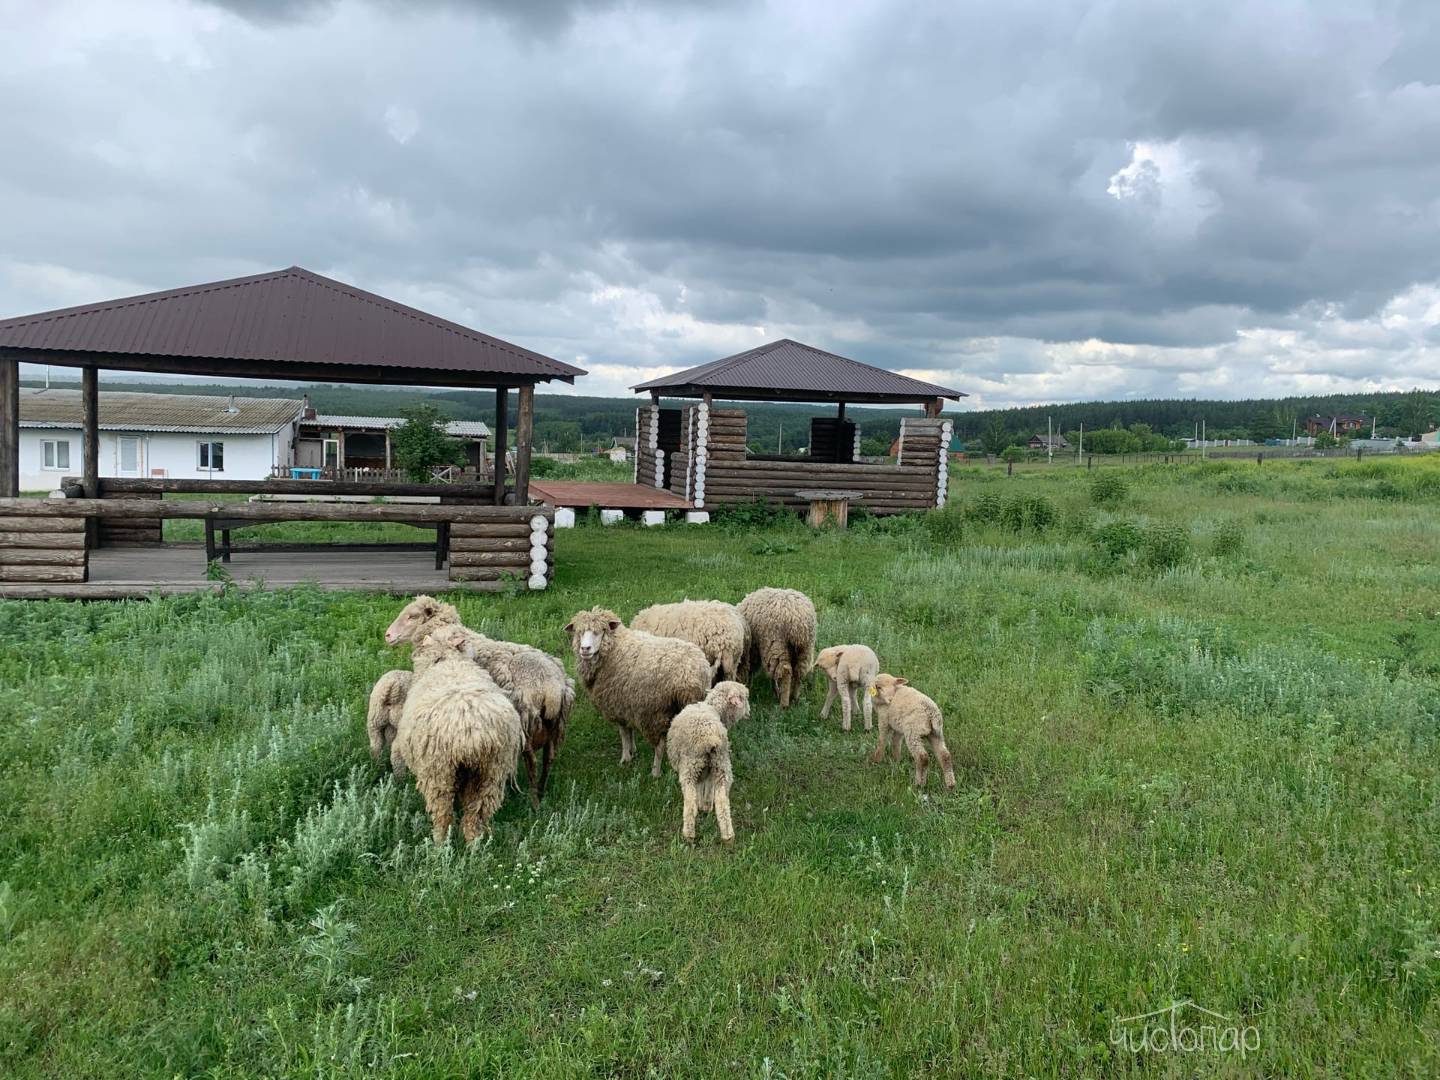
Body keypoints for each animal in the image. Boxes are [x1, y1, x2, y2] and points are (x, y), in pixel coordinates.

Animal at [388, 601, 578, 812]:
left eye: (412, 616)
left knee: (532, 762)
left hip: (526, 719)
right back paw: (542, 793)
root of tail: (553, 689)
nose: (388, 635)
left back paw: (533, 800)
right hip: (555, 724)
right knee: (548, 758)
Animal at [394, 639, 524, 852]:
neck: (448, 660)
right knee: (477, 811)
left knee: (443, 812)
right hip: (491, 772)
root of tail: (473, 736)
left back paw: (440, 846)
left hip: (438, 772)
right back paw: (474, 845)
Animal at [567, 610, 714, 777]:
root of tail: (694, 670)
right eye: (579, 632)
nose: (585, 649)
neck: (614, 649)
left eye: (601, 631)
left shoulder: (616, 704)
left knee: (659, 745)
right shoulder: (625, 705)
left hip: (656, 712)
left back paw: (655, 772)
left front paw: (625, 759)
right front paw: (633, 751)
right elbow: (629, 731)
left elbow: (624, 733)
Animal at [665, 685, 748, 846]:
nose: (749, 712)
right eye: (744, 697)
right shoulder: (709, 771)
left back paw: (689, 835)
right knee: (722, 801)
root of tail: (710, 739)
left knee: (690, 802)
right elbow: (708, 788)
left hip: (691, 766)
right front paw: (706, 806)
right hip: (721, 764)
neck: (714, 708)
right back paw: (728, 836)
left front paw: (702, 806)